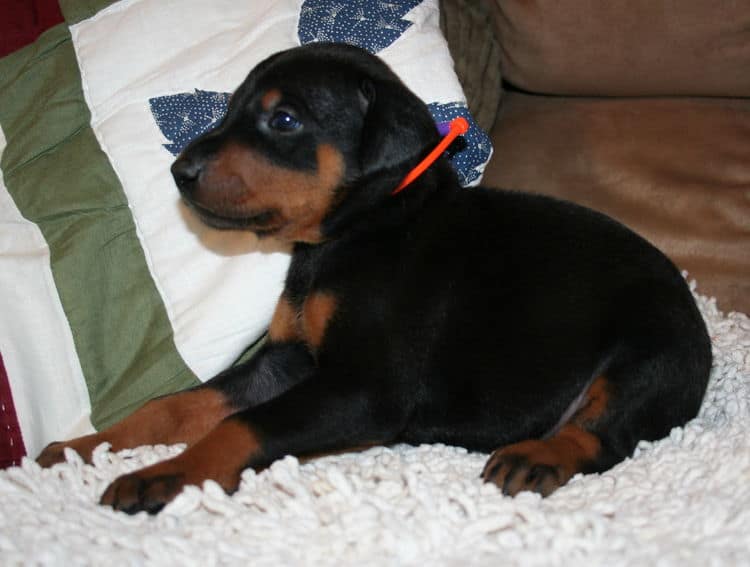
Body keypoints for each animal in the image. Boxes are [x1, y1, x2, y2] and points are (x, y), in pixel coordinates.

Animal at [39, 43, 712, 516]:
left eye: (285, 119)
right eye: (228, 109)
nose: (179, 172)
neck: (360, 228)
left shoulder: (363, 388)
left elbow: (244, 423)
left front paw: (165, 475)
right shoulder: (284, 361)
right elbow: (177, 405)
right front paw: (84, 447)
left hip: (650, 351)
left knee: (607, 434)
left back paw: (538, 456)